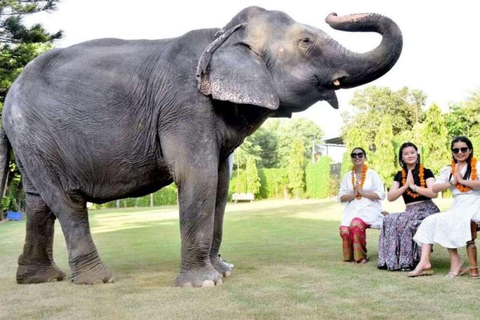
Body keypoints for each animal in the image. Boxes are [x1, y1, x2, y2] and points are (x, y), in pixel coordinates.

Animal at [0, 6, 402, 288]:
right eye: (306, 42)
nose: (333, 14)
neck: (222, 34)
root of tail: (8, 97)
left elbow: (221, 183)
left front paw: (224, 270)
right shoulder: (184, 105)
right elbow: (198, 176)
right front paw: (205, 282)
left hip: (33, 141)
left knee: (38, 202)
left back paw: (40, 279)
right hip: (34, 132)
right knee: (65, 200)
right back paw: (98, 279)